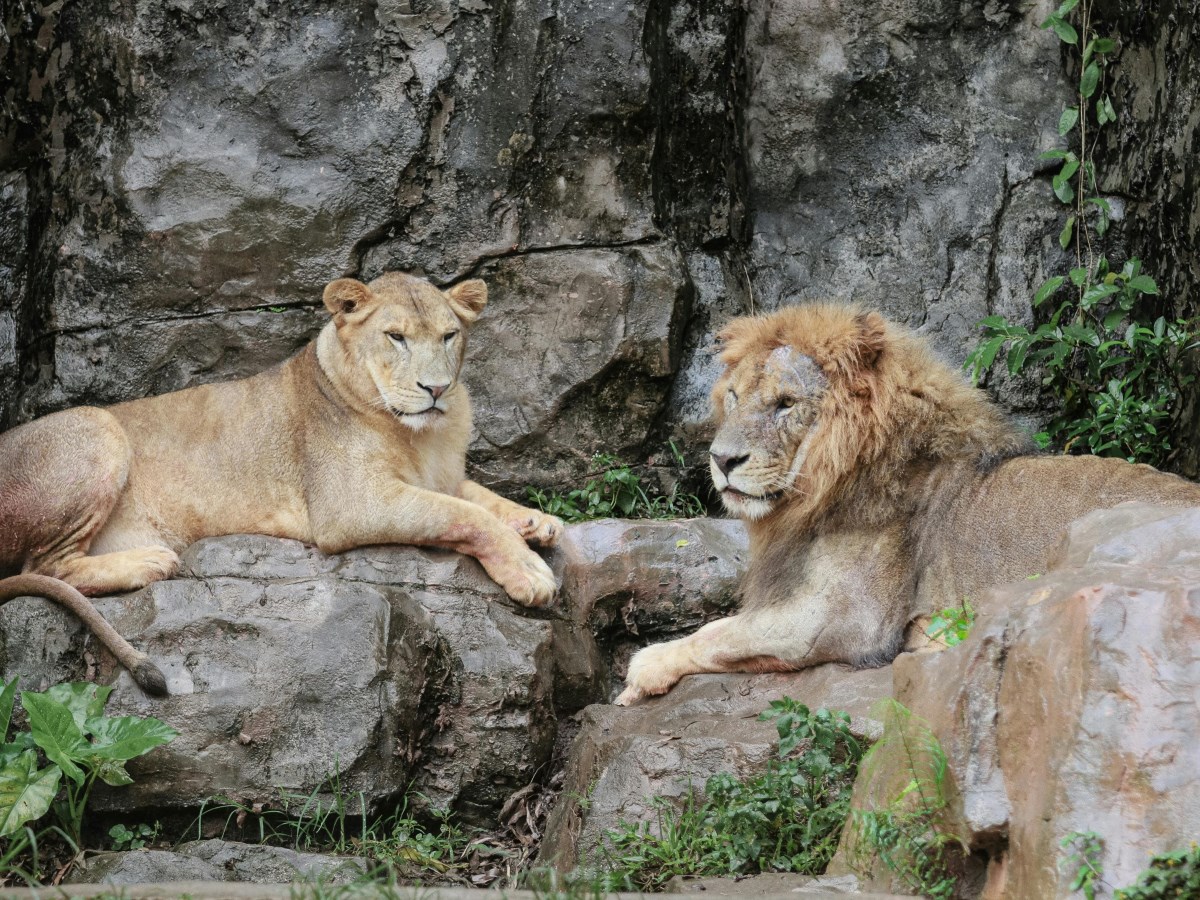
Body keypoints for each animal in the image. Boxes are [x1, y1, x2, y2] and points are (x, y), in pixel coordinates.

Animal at [1, 273, 561, 696]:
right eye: (396, 336)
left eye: (448, 336)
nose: (437, 388)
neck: (422, 436)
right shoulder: (351, 505)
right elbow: (464, 515)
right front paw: (529, 571)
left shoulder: (441, 475)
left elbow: (481, 497)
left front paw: (537, 521)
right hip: (98, 427)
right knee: (45, 566)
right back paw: (148, 561)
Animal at [619, 307, 1200, 710]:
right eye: (735, 397)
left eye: (785, 403)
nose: (721, 460)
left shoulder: (846, 620)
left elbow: (720, 632)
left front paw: (641, 670)